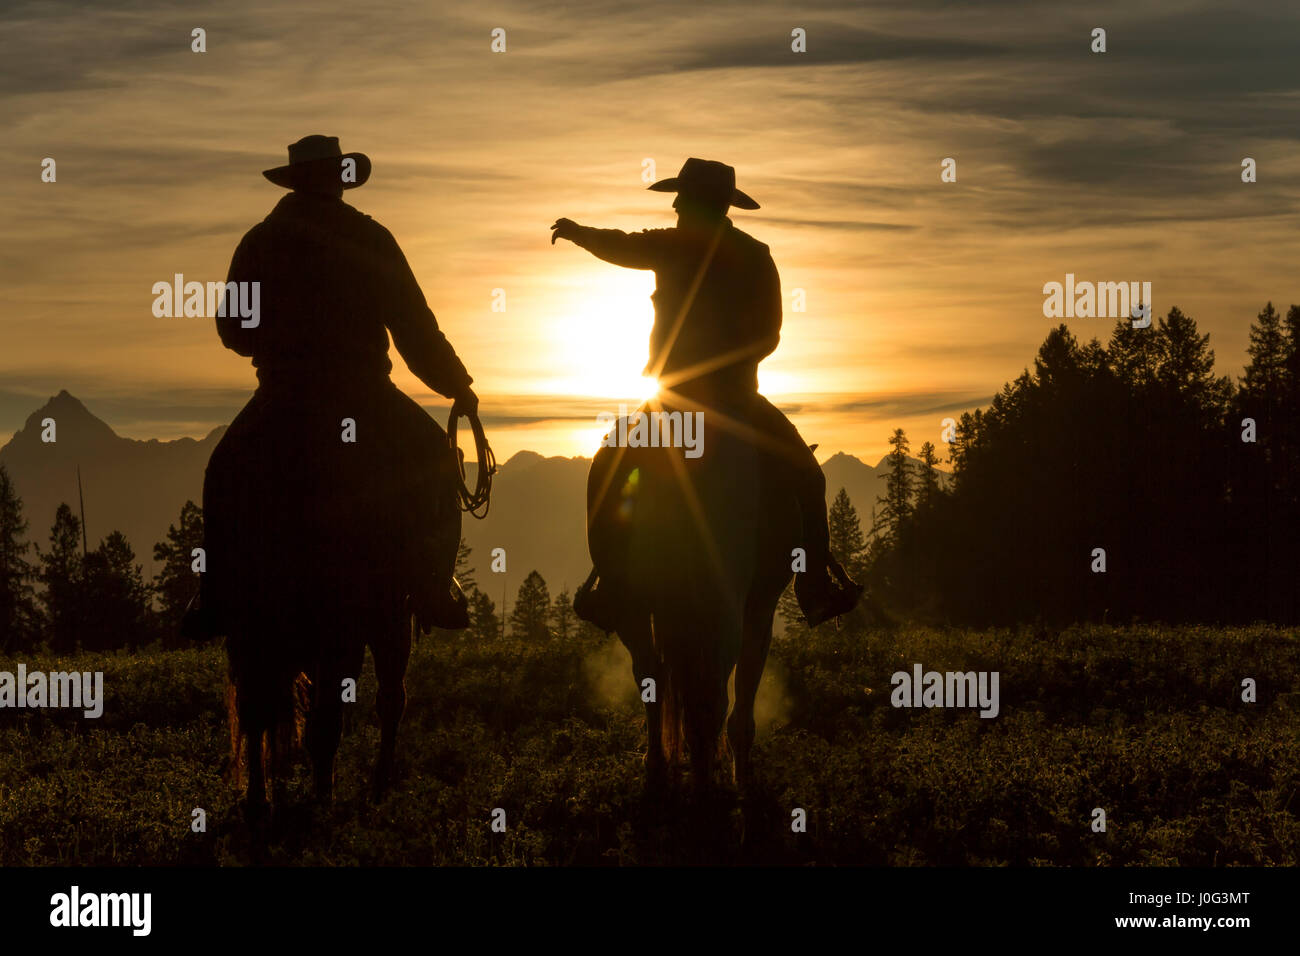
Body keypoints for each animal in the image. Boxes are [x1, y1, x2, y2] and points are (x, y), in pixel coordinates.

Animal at [582, 392, 800, 796]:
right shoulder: (760, 606)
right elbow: (745, 684)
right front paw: (742, 776)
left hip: (634, 605)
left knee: (650, 675)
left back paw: (657, 768)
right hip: (721, 602)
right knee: (711, 691)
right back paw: (705, 782)